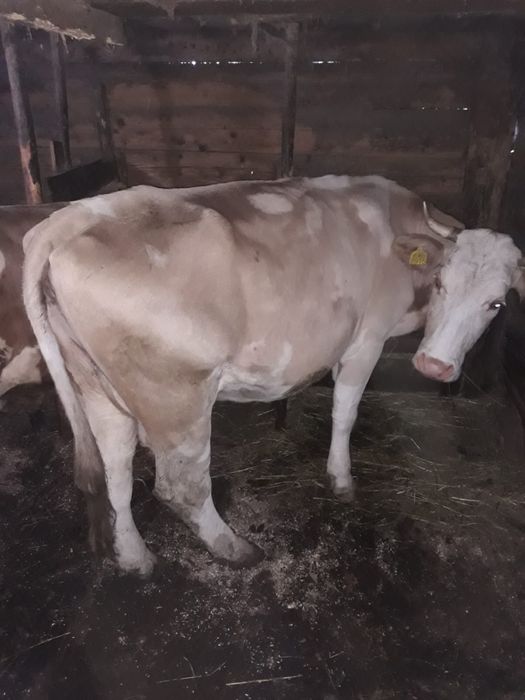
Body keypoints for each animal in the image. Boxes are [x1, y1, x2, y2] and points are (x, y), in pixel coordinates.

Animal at [22, 175, 523, 575]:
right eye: (440, 283)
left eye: (496, 302)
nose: (435, 365)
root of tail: (69, 219)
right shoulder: (367, 339)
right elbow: (345, 411)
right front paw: (341, 478)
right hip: (177, 394)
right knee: (181, 486)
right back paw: (235, 548)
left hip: (95, 385)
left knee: (116, 468)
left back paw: (134, 556)